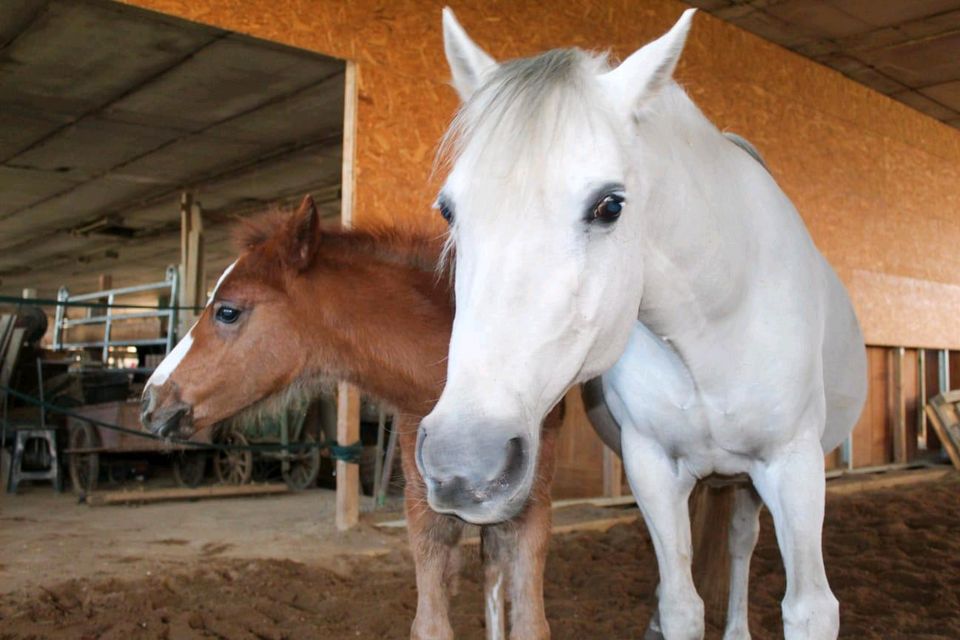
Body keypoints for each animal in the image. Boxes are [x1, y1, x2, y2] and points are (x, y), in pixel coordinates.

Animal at [143, 196, 564, 640]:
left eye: (227, 311)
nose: (151, 398)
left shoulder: (531, 508)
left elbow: (531, 624)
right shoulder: (423, 509)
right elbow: (431, 624)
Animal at [416, 10, 868, 640]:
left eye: (610, 205)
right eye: (449, 209)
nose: (463, 464)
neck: (715, 323)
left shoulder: (793, 463)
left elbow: (809, 608)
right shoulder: (652, 468)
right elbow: (681, 603)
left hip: (751, 483)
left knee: (740, 543)